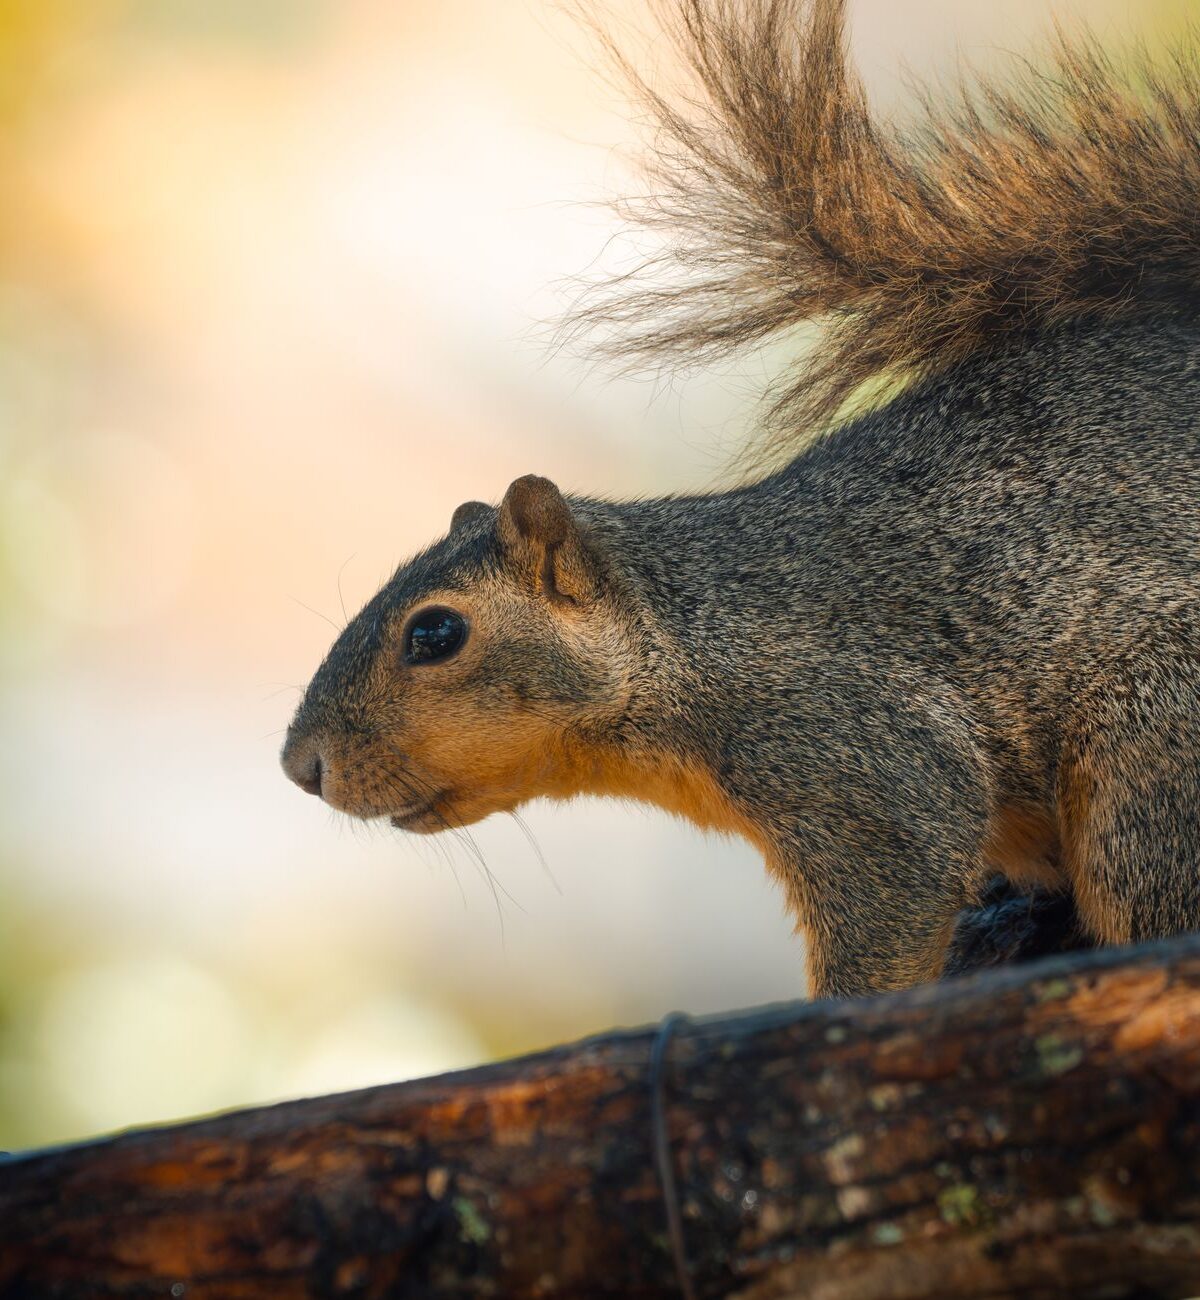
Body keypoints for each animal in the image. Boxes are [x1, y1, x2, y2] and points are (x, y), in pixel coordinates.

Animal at [282, 0, 1200, 999]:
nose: (300, 768)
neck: (690, 638)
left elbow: (895, 898)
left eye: (436, 634)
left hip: (1149, 760)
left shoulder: (861, 750)